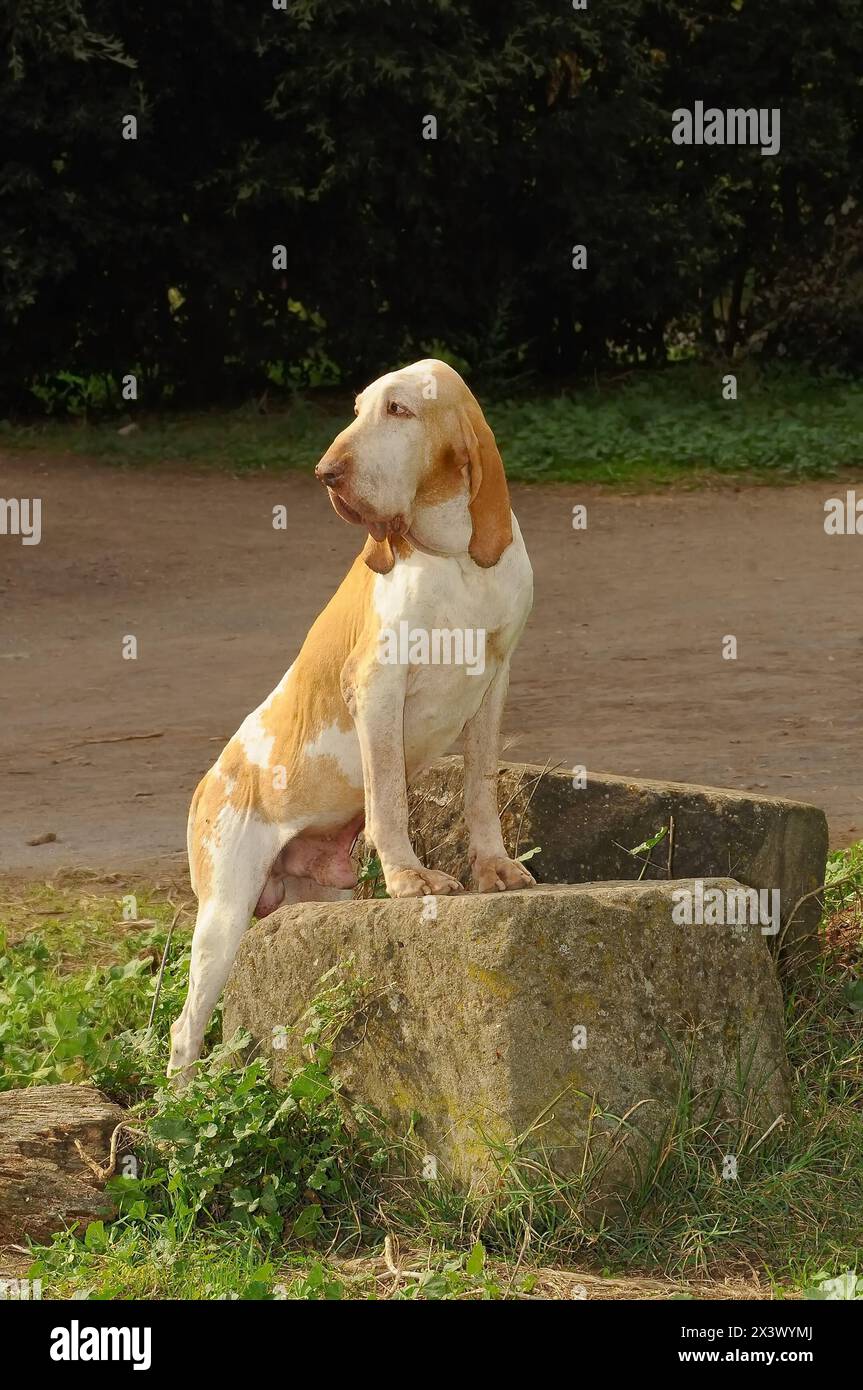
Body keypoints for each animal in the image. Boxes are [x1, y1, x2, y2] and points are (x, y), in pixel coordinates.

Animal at [167, 355, 530, 1073]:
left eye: (398, 410)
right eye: (357, 408)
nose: (326, 472)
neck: (452, 557)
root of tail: (206, 784)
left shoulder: (495, 681)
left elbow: (479, 789)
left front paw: (492, 866)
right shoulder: (378, 689)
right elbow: (388, 795)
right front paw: (409, 879)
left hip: (313, 902)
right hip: (222, 916)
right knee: (184, 1030)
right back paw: (177, 1098)